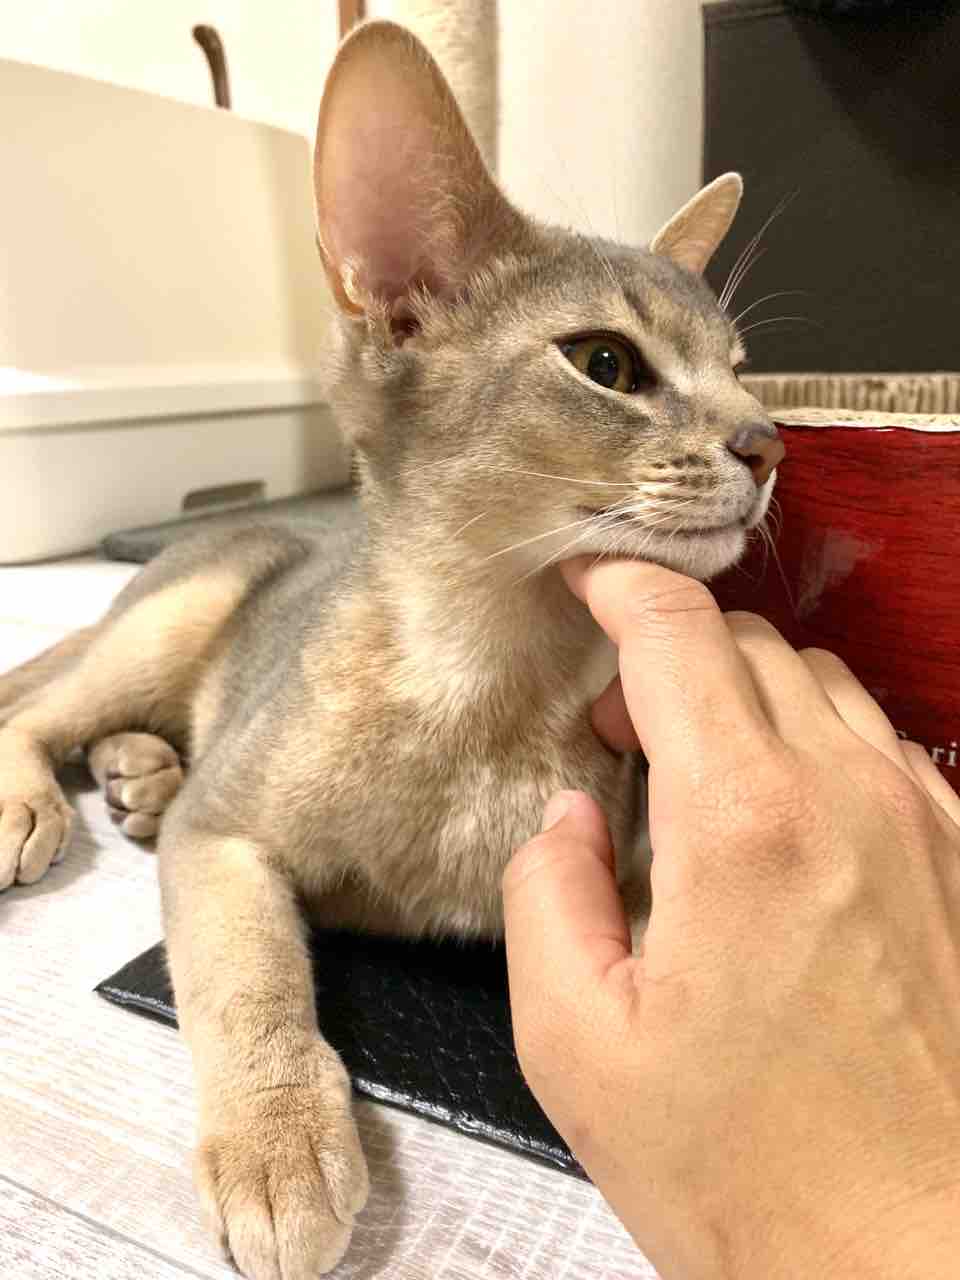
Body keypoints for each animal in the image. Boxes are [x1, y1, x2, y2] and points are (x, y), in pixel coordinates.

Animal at [0, 20, 782, 1279]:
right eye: (608, 364)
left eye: (741, 367)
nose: (769, 443)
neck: (487, 683)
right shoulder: (223, 834)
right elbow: (249, 977)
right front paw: (278, 1140)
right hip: (168, 624)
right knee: (30, 709)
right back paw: (47, 796)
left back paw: (138, 774)